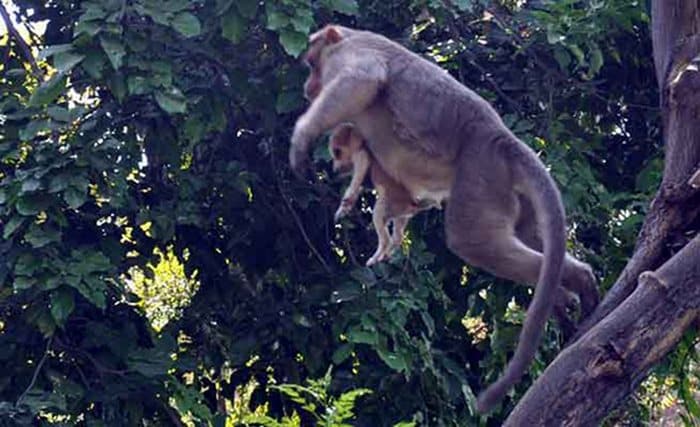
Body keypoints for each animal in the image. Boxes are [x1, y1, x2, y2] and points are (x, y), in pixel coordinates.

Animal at [328, 122, 438, 266]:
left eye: (337, 152)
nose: (334, 169)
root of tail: (413, 203)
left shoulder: (361, 158)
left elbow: (355, 184)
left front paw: (342, 209)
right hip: (402, 215)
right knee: (398, 236)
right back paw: (387, 255)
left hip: (385, 208)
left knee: (385, 237)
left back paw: (375, 258)